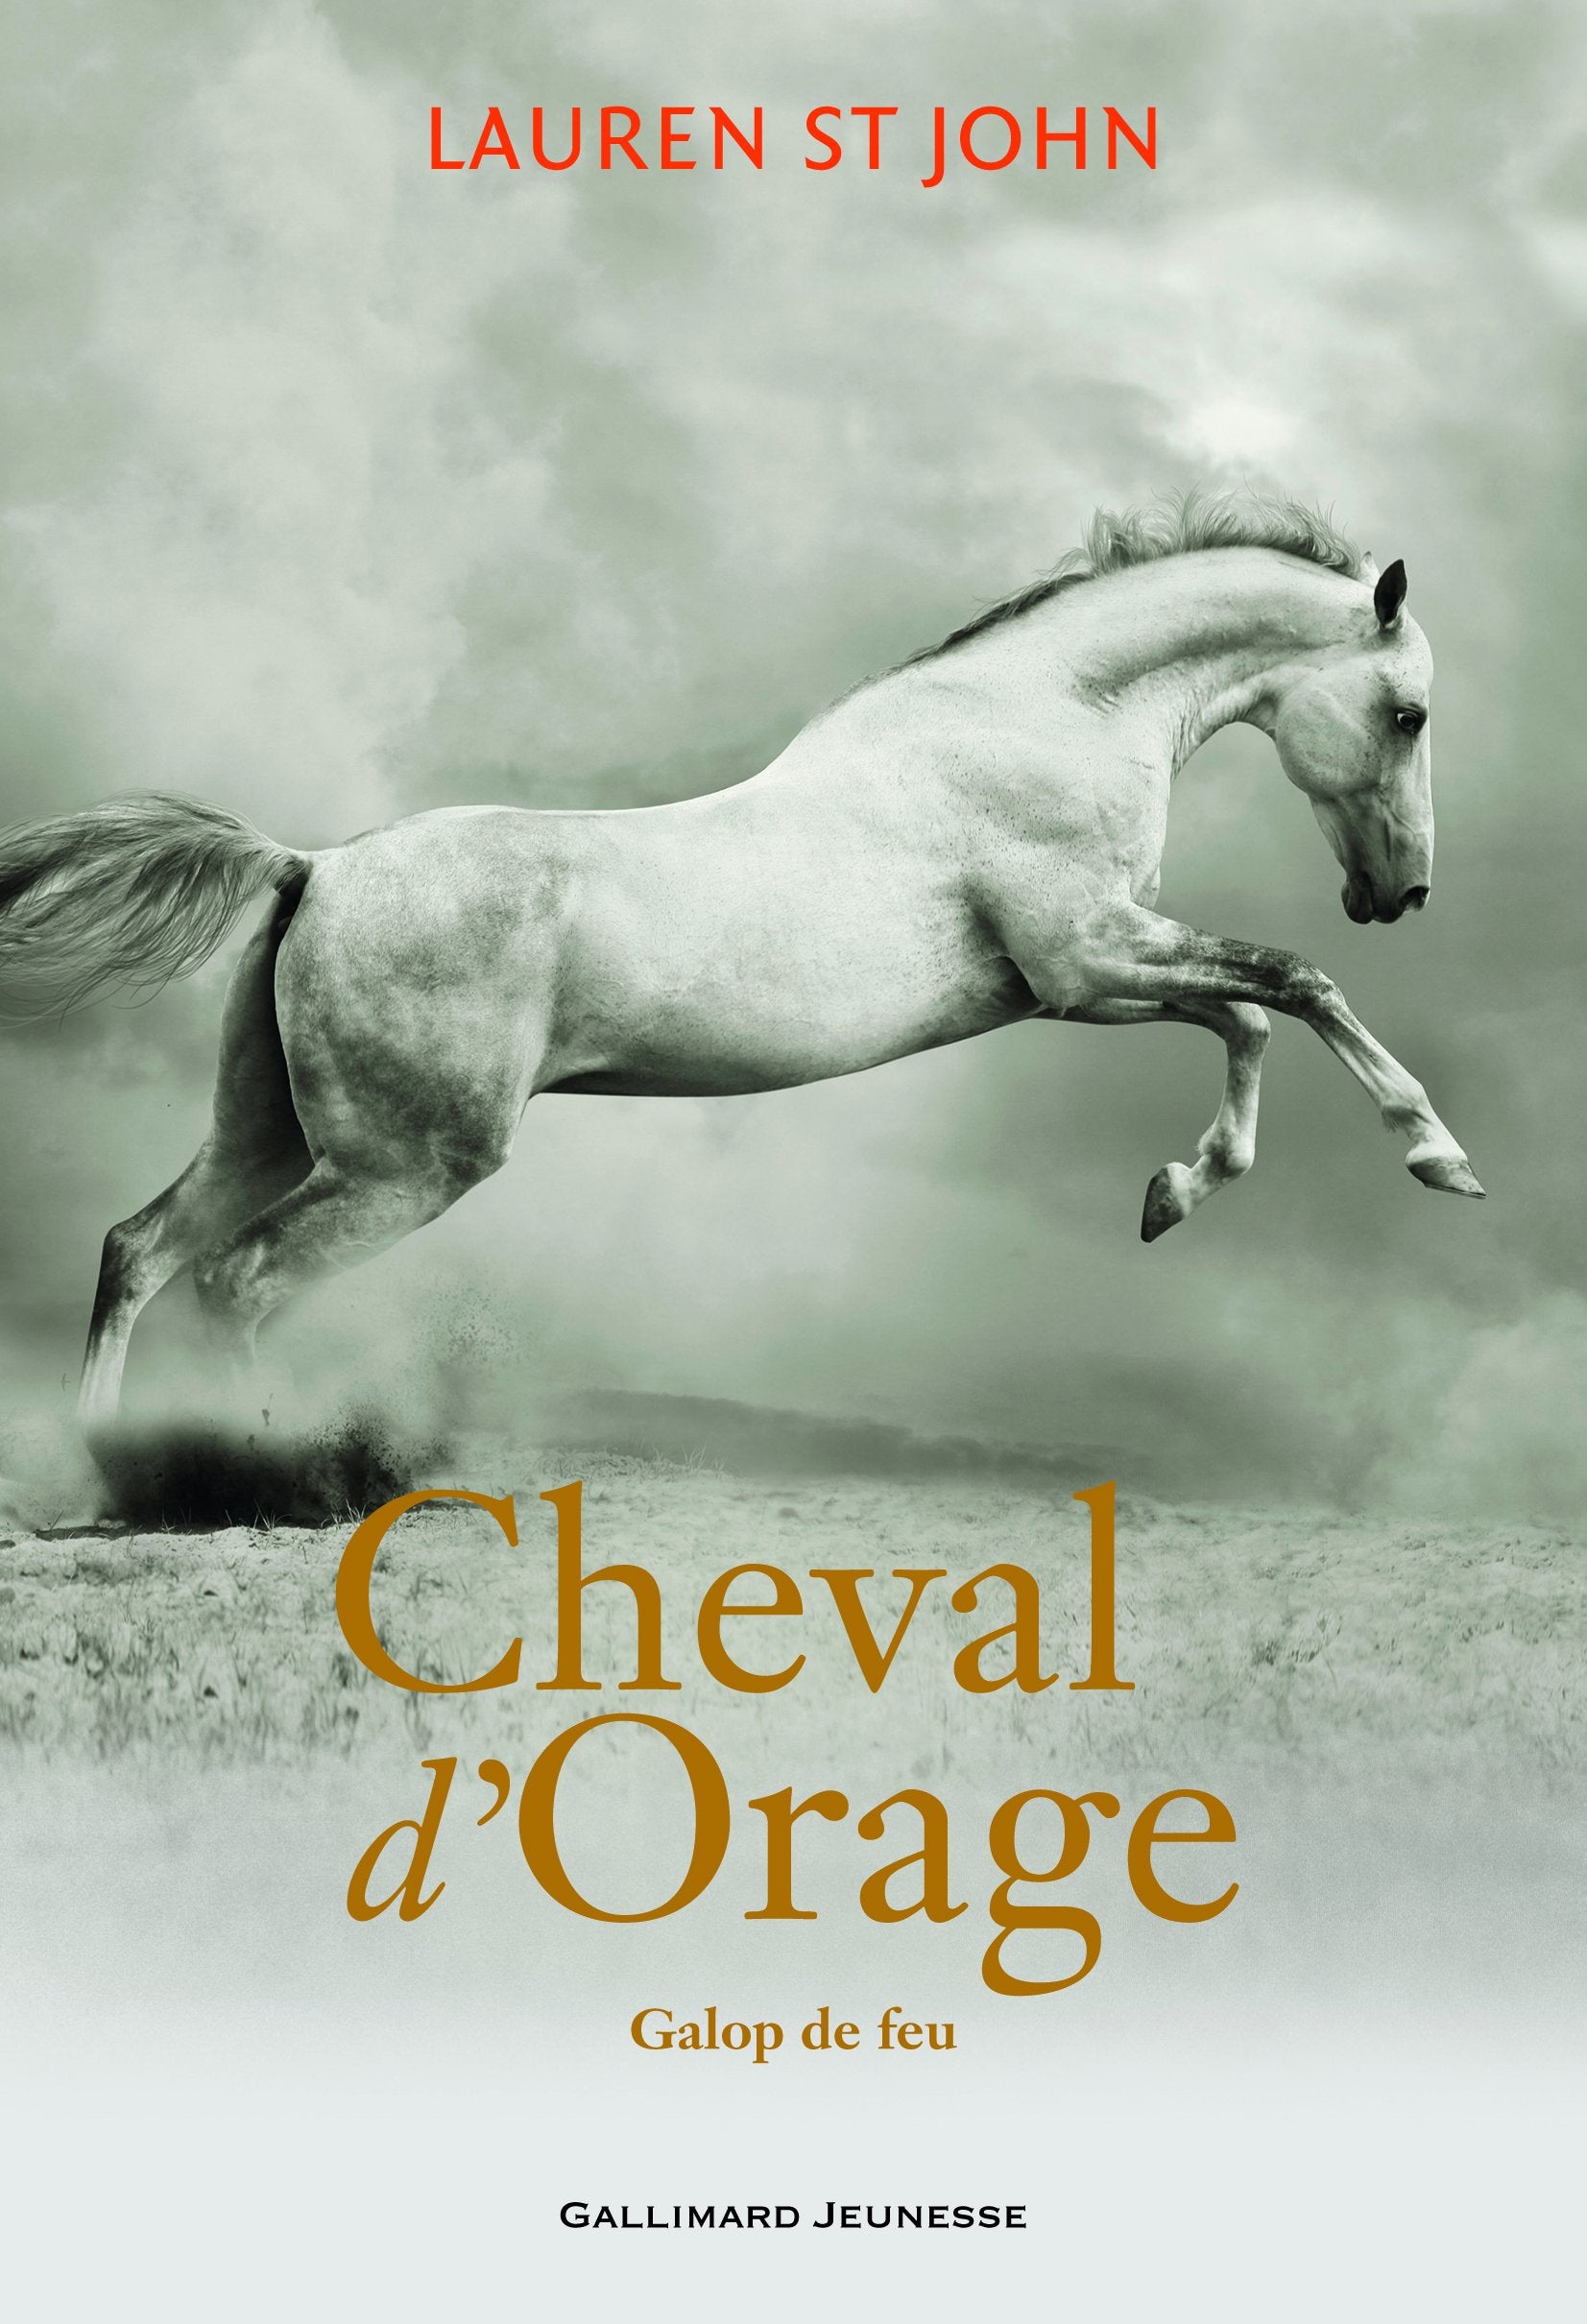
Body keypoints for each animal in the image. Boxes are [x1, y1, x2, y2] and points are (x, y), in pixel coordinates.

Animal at [0, 494, 1482, 1430]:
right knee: (237, 1281)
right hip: (402, 1166)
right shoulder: (1087, 959)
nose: (1401, 893)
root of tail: (313, 867)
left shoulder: (1089, 980)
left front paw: (1173, 1192)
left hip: (270, 1129)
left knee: (140, 1253)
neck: (1044, 717)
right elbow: (1291, 985)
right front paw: (1437, 1155)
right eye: (1409, 714)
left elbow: (1252, 1018)